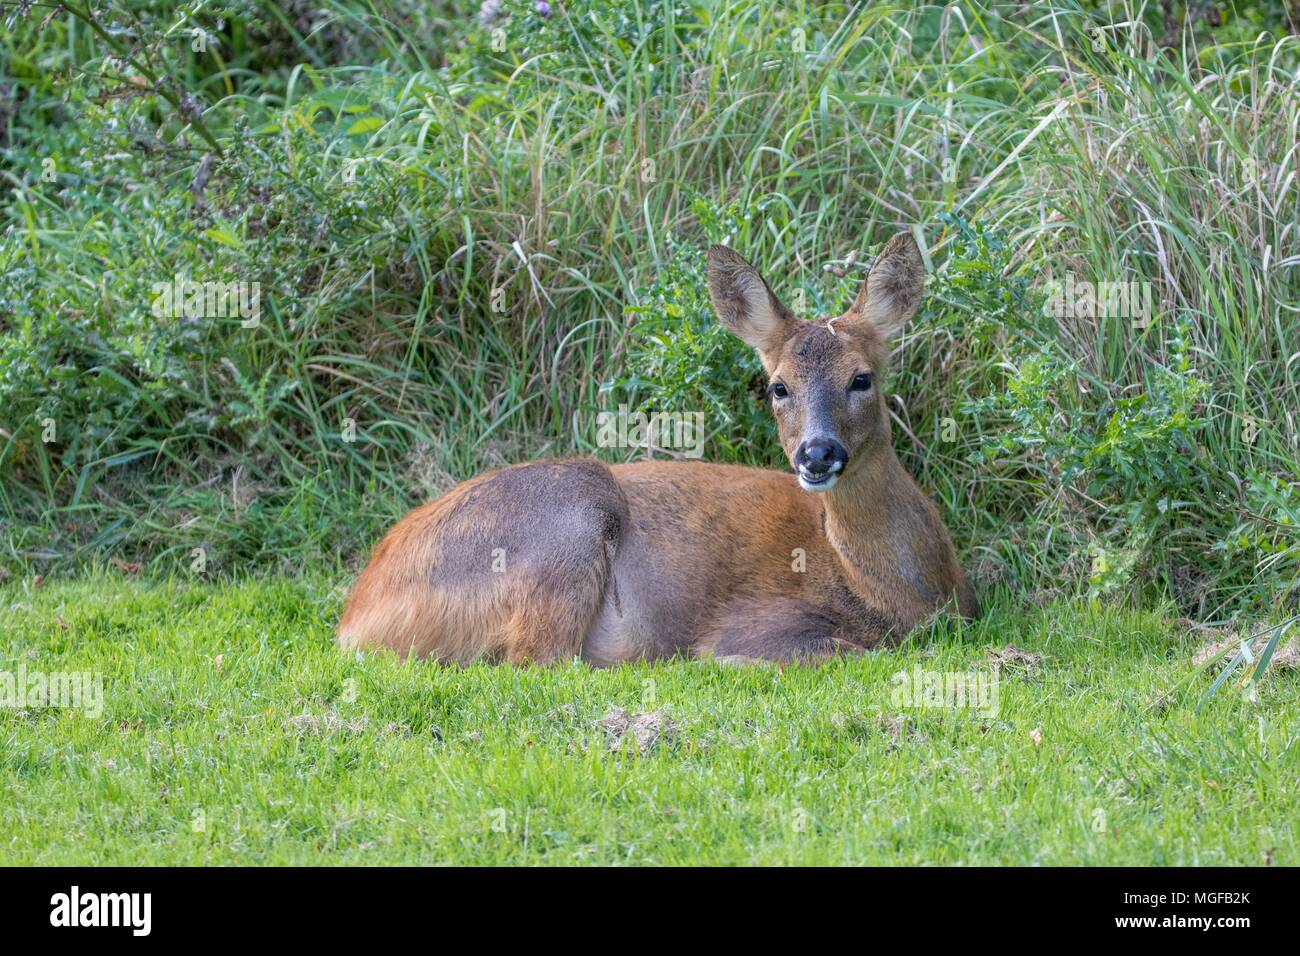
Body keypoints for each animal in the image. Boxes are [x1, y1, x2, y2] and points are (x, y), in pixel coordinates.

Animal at [338, 231, 978, 664]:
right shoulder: (756, 625)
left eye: (861, 378)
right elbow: (834, 649)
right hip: (567, 520)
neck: (893, 592)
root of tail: (354, 619)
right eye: (777, 386)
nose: (816, 454)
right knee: (537, 659)